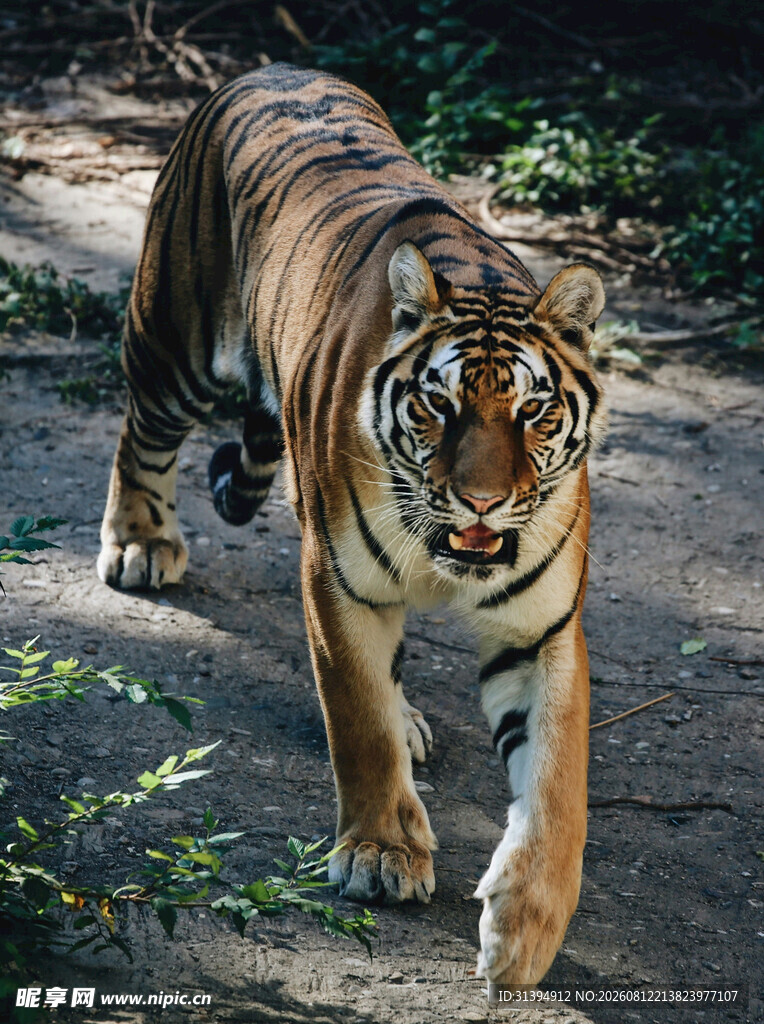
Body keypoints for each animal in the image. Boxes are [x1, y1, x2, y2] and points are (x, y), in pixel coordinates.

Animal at [97, 63, 606, 985]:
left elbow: (556, 783)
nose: (481, 501)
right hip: (172, 341)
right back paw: (140, 543)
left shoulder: (542, 629)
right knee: (141, 431)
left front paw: (525, 928)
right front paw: (381, 855)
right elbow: (358, 719)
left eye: (534, 412)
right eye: (440, 407)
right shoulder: (339, 582)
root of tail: (268, 68)